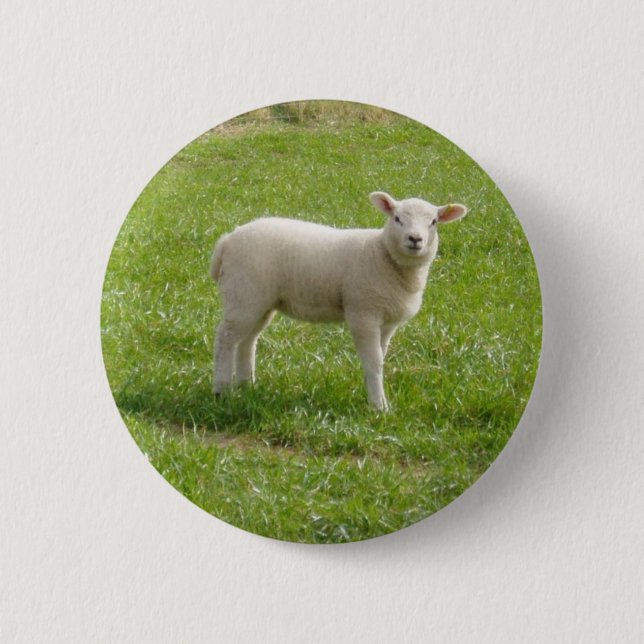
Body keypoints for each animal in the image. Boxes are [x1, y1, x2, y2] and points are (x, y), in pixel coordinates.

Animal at [209, 191, 468, 411]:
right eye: (397, 218)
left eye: (433, 222)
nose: (415, 239)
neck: (381, 255)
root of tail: (227, 240)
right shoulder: (362, 313)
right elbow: (374, 361)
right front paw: (379, 407)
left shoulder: (387, 322)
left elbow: (380, 357)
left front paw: (374, 397)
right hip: (243, 294)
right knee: (226, 338)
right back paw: (222, 390)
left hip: (259, 301)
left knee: (247, 340)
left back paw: (247, 386)